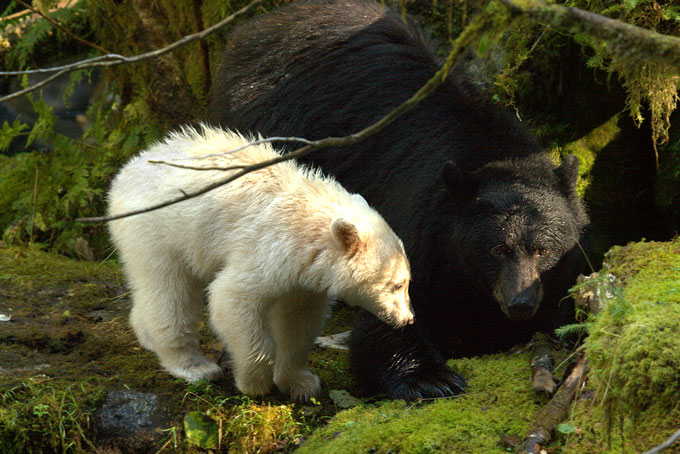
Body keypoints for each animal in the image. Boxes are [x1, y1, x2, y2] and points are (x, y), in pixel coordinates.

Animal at [107, 125, 414, 401]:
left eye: (407, 281)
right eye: (397, 284)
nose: (407, 319)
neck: (308, 225)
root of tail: (125, 173)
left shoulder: (304, 277)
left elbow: (298, 321)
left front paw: (301, 383)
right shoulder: (267, 248)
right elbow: (232, 298)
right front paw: (254, 382)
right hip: (159, 232)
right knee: (171, 292)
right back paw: (194, 365)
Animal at [208, 0, 589, 400]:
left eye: (543, 250)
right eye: (498, 249)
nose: (520, 304)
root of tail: (258, 27)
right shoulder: (418, 221)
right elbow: (393, 308)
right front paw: (430, 378)